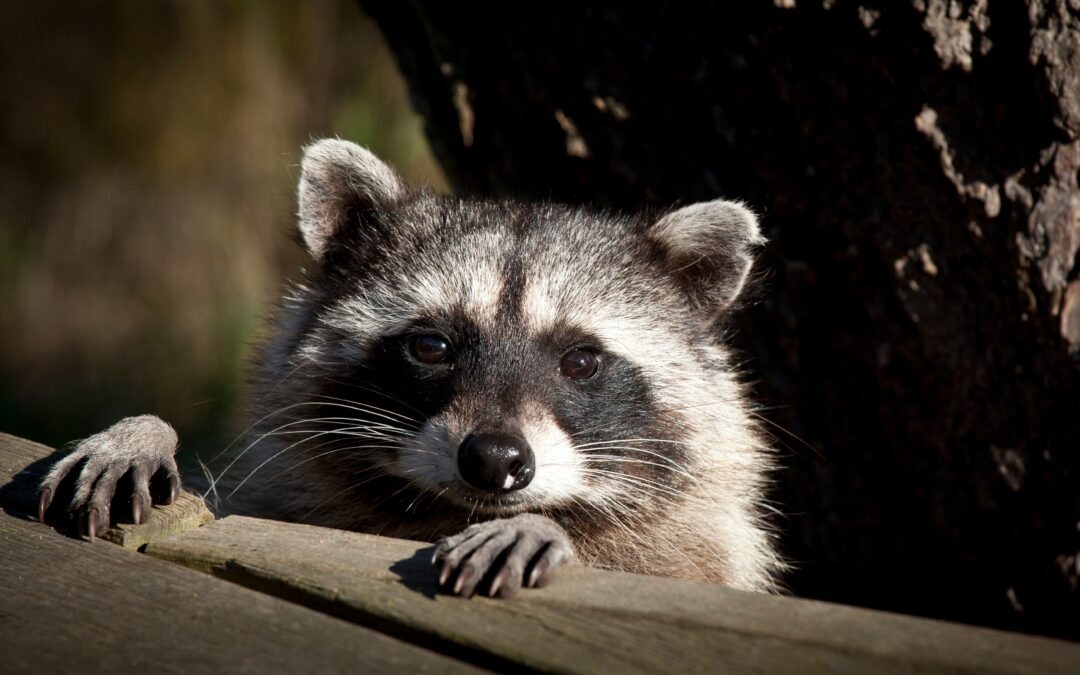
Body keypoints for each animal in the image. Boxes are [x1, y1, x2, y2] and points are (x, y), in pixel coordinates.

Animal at [39, 137, 786, 596]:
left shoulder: (699, 552)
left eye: (581, 360)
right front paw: (144, 431)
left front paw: (547, 525)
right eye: (431, 347)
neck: (440, 512)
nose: (494, 459)